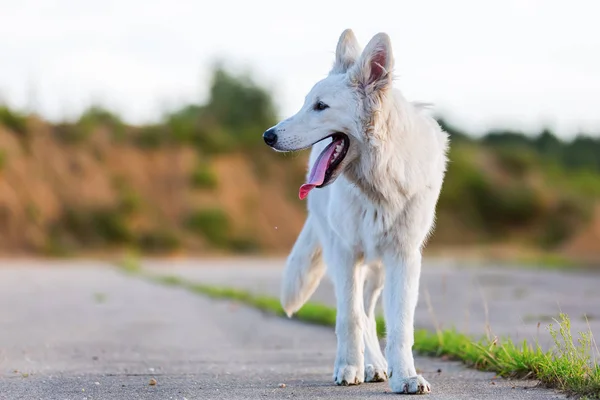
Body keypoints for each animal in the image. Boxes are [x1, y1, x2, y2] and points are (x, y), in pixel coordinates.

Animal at [260, 28, 448, 394]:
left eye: (320, 106)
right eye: (306, 103)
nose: (268, 135)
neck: (380, 184)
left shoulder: (403, 257)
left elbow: (400, 325)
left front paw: (405, 376)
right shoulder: (346, 253)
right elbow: (349, 317)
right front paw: (349, 368)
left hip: (377, 271)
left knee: (370, 313)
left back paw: (378, 365)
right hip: (346, 259)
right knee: (360, 314)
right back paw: (368, 365)